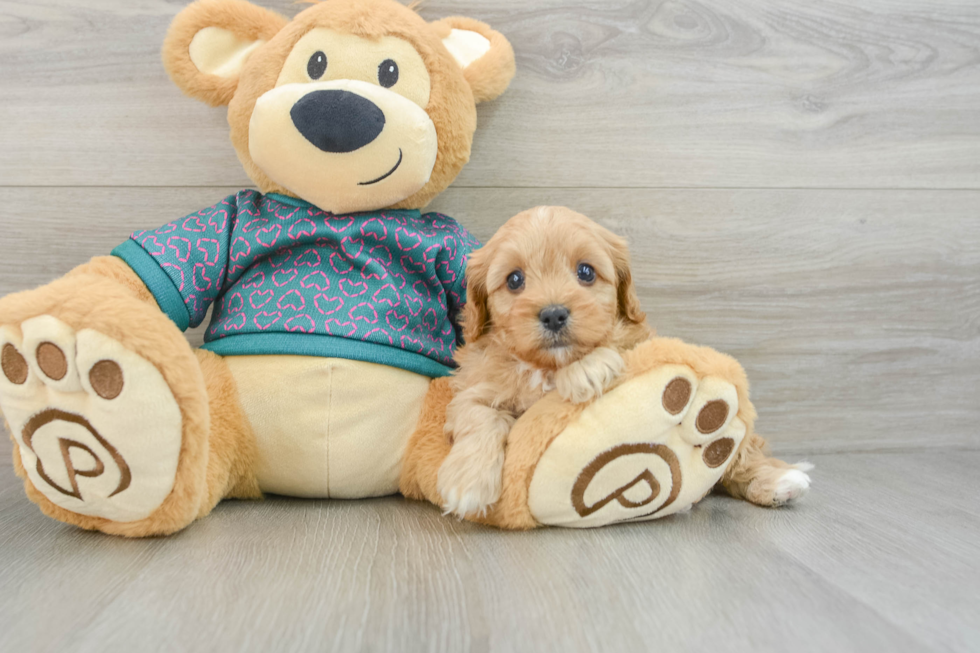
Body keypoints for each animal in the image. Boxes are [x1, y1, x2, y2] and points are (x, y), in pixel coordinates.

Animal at [436, 206, 652, 516]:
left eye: (586, 272)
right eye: (514, 279)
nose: (553, 315)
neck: (543, 367)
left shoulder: (640, 338)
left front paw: (586, 368)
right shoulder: (472, 387)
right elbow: (478, 415)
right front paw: (467, 482)